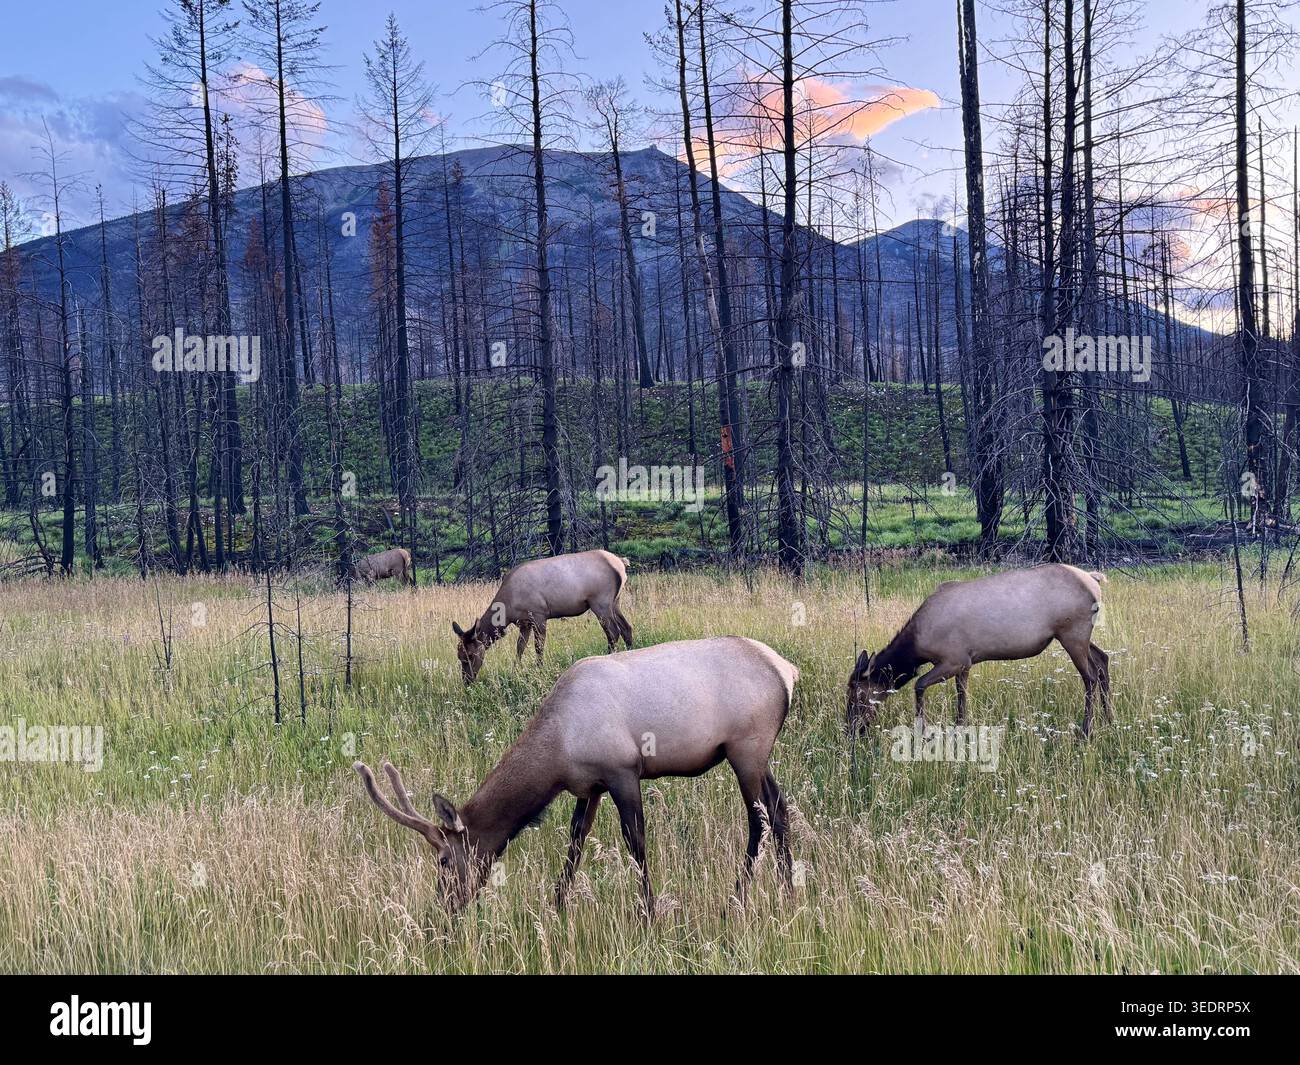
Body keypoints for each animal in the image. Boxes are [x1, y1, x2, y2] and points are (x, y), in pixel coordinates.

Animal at [354, 636, 798, 917]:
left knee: (758, 819)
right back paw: (789, 890)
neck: (558, 750)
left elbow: (635, 842)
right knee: (780, 809)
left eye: (444, 860)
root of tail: (787, 672)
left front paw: (649, 913)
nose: (443, 907)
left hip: (745, 748)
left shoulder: (622, 771)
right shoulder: (590, 786)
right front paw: (556, 906)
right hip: (757, 756)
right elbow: (576, 842)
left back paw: (734, 903)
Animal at [451, 549, 632, 683]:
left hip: (600, 602)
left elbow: (538, 647)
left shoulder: (539, 615)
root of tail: (621, 563)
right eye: (459, 656)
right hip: (615, 601)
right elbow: (520, 647)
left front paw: (539, 669)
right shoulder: (524, 623)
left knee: (613, 632)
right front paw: (516, 671)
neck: (507, 609)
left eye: (470, 656)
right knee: (626, 628)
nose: (467, 681)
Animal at [846, 564, 1112, 738]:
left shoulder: (953, 659)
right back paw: (1110, 719)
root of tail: (1095, 579)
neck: (917, 645)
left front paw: (922, 730)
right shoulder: (965, 663)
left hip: (1072, 633)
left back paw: (1086, 731)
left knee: (1089, 677)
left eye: (858, 695)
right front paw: (961, 728)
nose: (852, 729)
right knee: (1102, 660)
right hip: (1078, 637)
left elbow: (919, 685)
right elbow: (961, 697)